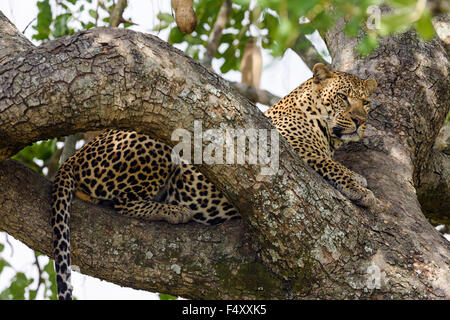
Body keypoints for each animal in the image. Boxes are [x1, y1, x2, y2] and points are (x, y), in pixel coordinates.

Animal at [51, 62, 378, 300]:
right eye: (342, 97)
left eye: (365, 102)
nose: (360, 121)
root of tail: (75, 156)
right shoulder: (291, 149)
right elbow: (327, 164)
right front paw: (360, 187)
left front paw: (357, 179)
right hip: (155, 140)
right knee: (122, 203)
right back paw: (173, 211)